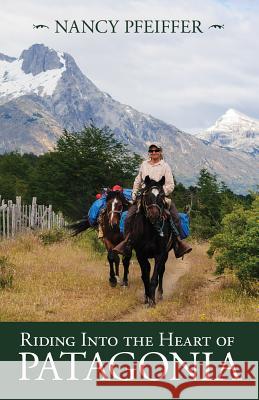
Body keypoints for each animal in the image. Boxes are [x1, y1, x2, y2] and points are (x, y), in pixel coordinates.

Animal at [131, 175, 174, 306]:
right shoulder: (140, 254)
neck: (150, 231)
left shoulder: (160, 254)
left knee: (161, 271)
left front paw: (153, 301)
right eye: (147, 195)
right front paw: (147, 298)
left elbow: (155, 277)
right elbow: (145, 276)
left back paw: (159, 294)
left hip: (166, 254)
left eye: (162, 195)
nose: (154, 215)